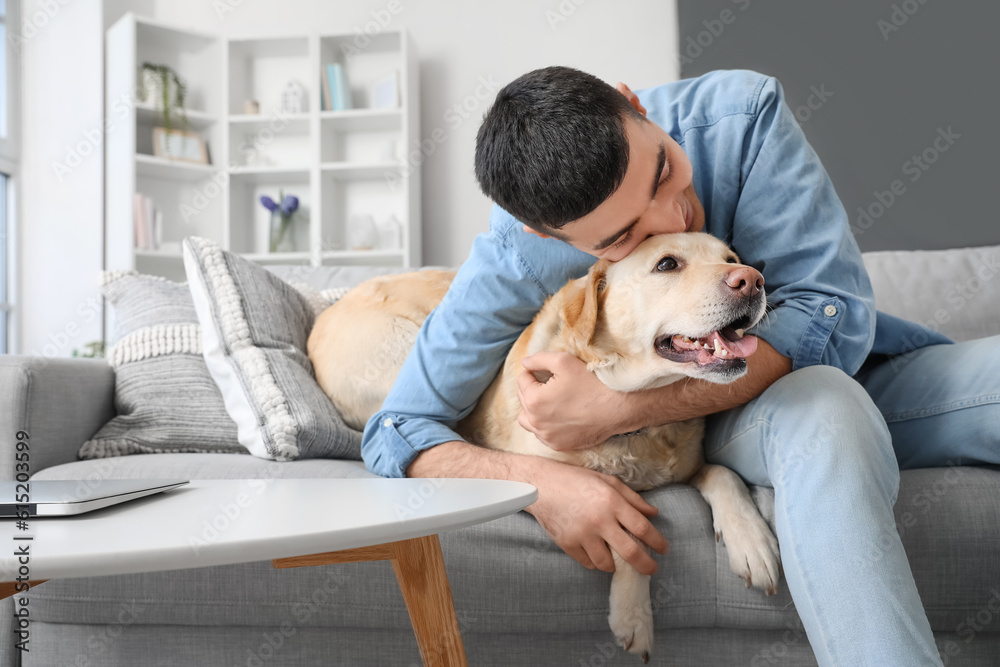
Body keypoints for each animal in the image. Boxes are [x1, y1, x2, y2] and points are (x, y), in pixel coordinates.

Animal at [310, 234, 780, 664]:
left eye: (731, 259)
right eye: (667, 264)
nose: (752, 280)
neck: (632, 419)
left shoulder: (691, 462)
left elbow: (724, 474)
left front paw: (751, 540)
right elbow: (624, 530)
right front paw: (633, 615)